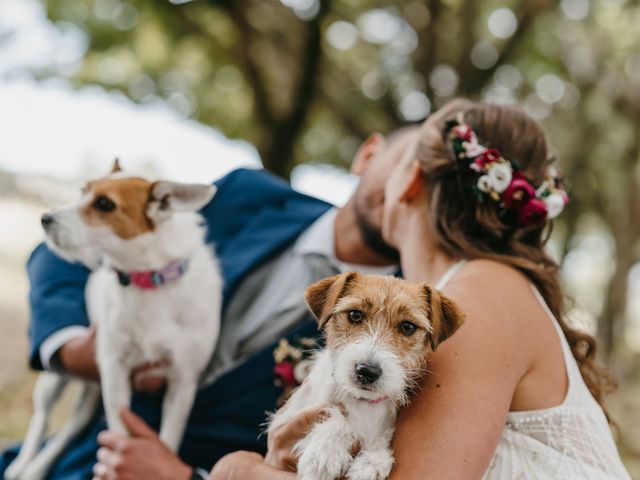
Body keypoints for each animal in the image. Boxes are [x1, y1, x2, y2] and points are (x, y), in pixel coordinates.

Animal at [4, 160, 222, 480]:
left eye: (105, 204)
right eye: (82, 190)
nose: (45, 218)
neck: (148, 280)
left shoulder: (182, 381)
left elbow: (168, 441)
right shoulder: (115, 370)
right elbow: (119, 433)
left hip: (92, 392)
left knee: (71, 429)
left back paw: (36, 468)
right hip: (58, 377)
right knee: (41, 419)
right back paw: (23, 465)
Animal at [270, 272, 464, 478]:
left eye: (408, 327)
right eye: (355, 315)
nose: (367, 371)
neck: (363, 402)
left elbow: (381, 436)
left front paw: (373, 461)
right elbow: (341, 418)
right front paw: (325, 451)